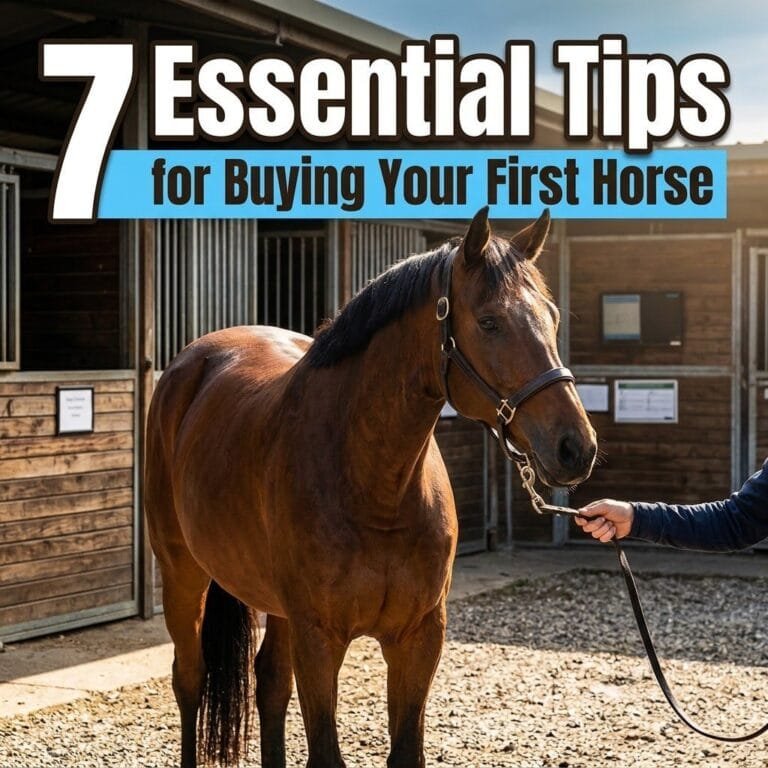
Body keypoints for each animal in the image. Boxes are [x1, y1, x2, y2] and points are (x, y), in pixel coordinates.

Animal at [144, 208, 597, 768]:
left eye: (552, 318)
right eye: (489, 322)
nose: (575, 447)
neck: (377, 489)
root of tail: (193, 363)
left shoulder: (419, 637)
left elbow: (405, 750)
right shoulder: (320, 639)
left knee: (269, 683)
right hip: (183, 573)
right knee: (190, 679)